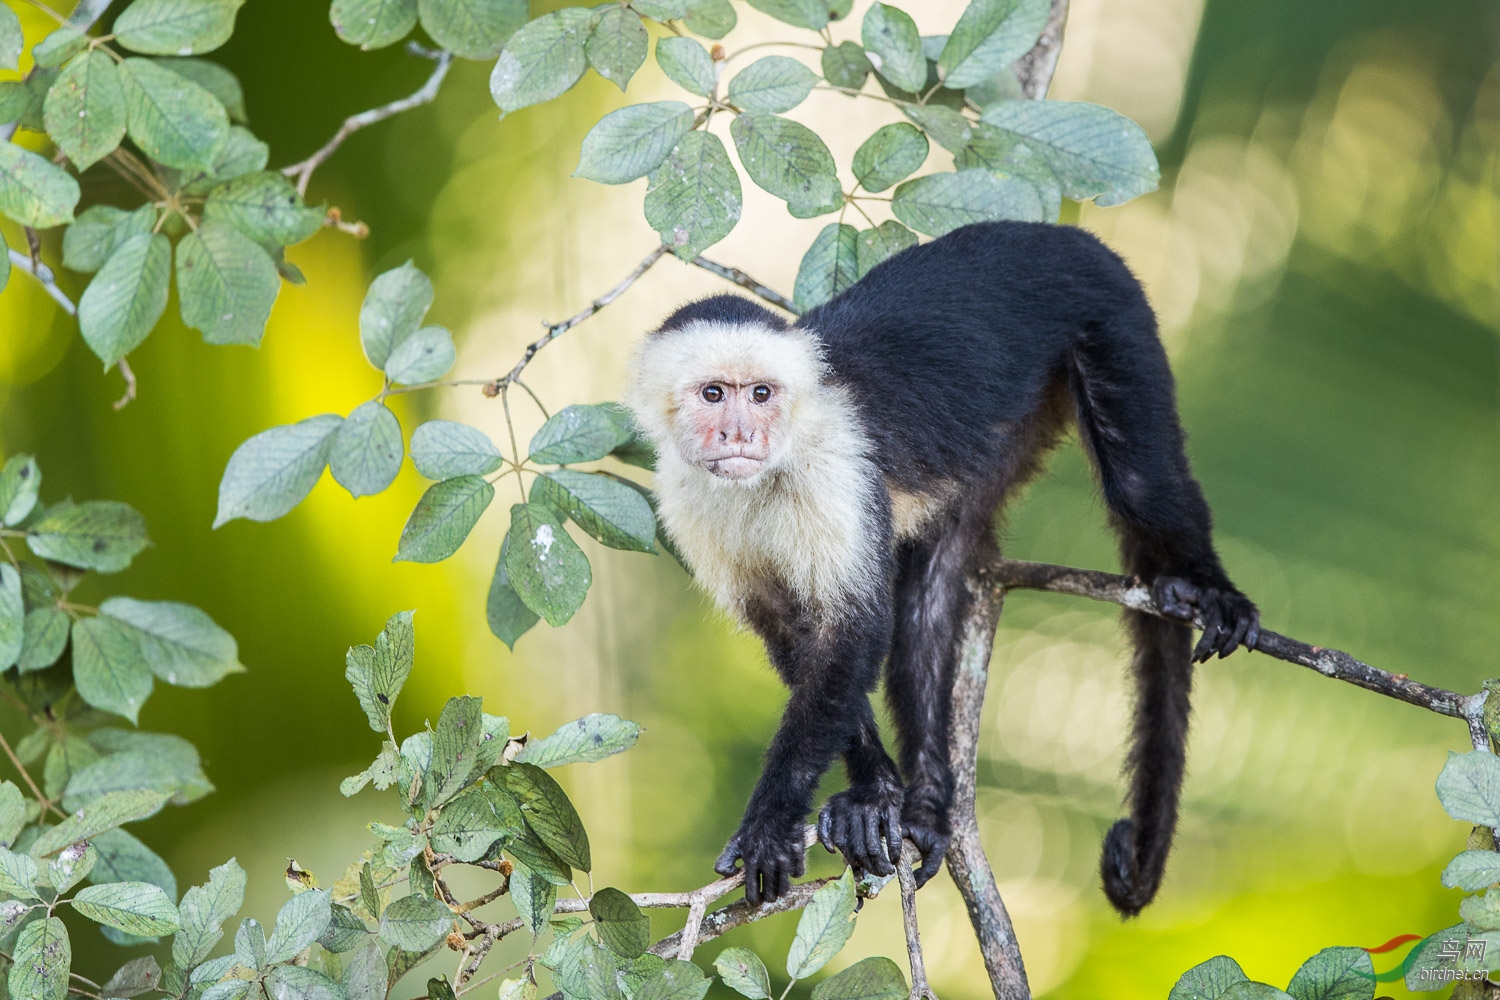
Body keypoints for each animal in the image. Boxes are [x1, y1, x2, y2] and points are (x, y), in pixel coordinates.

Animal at [627, 223, 1260, 917]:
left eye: (761, 394)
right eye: (714, 394)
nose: (740, 433)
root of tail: (1062, 232)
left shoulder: (835, 469)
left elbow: (851, 633)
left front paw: (771, 822)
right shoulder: (683, 498)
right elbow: (795, 634)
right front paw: (876, 794)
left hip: (1113, 322)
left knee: (1143, 487)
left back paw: (1212, 589)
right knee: (933, 578)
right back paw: (929, 806)